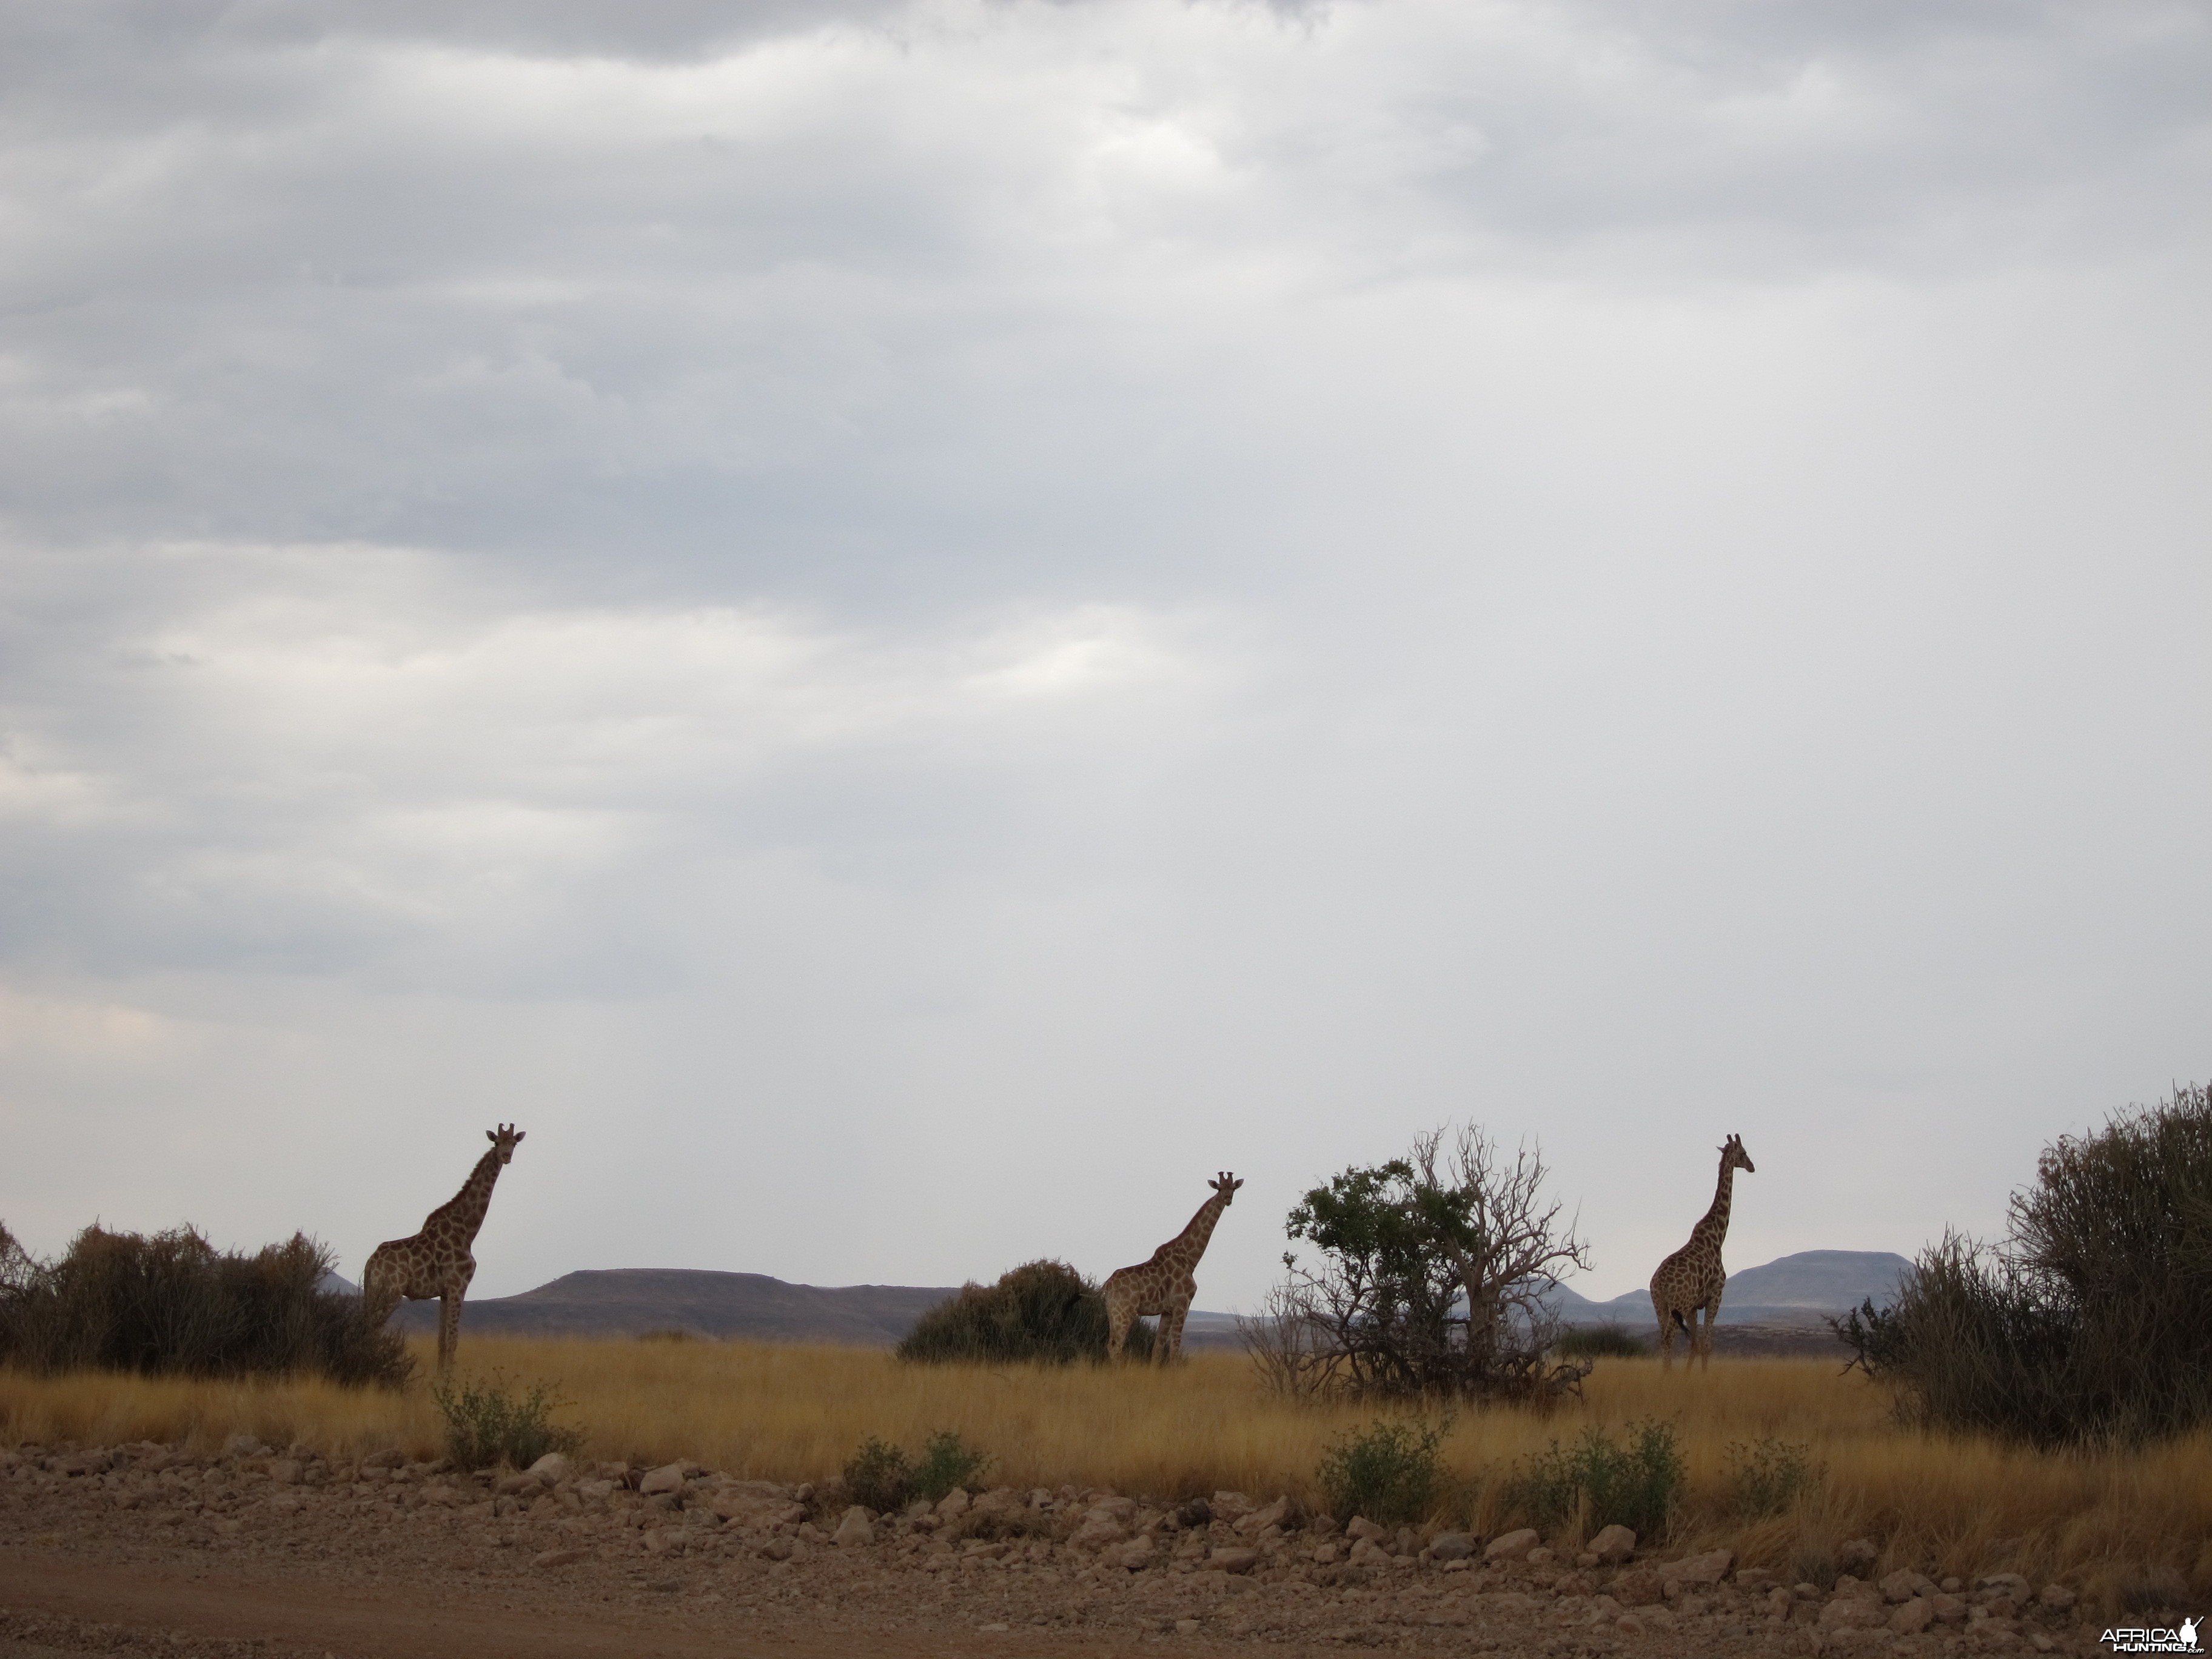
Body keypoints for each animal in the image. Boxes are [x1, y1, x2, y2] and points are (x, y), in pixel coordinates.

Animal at [369, 1132, 533, 1380]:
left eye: (514, 1143)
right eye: (497, 1142)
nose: (506, 1157)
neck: (467, 1231)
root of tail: (370, 1262)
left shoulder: (445, 1292)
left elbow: (442, 1340)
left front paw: (440, 1378)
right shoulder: (459, 1286)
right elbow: (453, 1339)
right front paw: (450, 1380)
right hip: (390, 1291)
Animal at [1106, 1168, 1247, 1362]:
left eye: (1233, 1188)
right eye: (1219, 1188)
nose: (1227, 1199)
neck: (1189, 1260)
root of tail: (1107, 1286)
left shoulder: (1167, 1311)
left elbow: (1157, 1350)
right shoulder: (1182, 1304)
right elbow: (1174, 1351)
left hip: (1112, 1313)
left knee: (1110, 1345)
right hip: (1125, 1311)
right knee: (1116, 1347)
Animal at [1654, 1141, 1752, 1371]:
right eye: (1744, 1153)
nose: (1752, 1167)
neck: (1717, 1238)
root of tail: (1659, 1283)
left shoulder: (1693, 1306)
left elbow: (1695, 1345)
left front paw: (1689, 1375)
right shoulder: (1715, 1296)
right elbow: (1706, 1345)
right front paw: (1704, 1375)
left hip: (1661, 1305)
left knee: (1663, 1338)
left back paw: (1665, 1373)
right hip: (1678, 1304)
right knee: (1669, 1337)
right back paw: (1667, 1374)